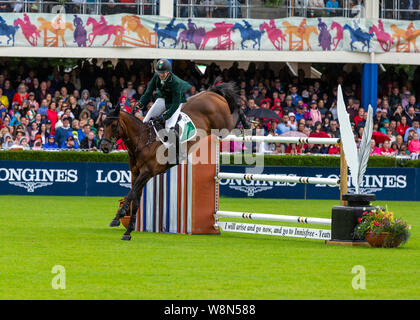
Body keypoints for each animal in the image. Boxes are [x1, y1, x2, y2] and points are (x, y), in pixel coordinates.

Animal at [99, 82, 248, 240]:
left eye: (113, 125)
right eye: (102, 123)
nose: (104, 147)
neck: (142, 141)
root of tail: (211, 92)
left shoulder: (146, 172)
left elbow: (131, 194)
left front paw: (118, 217)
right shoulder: (136, 173)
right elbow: (136, 198)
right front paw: (128, 231)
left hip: (223, 125)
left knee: (236, 112)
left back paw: (246, 121)